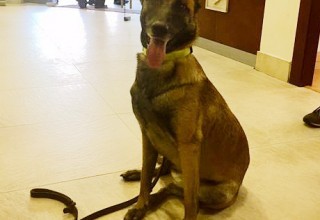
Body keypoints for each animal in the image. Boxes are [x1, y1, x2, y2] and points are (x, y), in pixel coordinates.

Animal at [122, 0, 250, 219]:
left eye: (182, 6)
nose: (159, 28)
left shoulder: (188, 148)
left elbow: (190, 201)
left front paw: (145, 204)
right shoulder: (147, 136)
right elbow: (146, 176)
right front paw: (140, 205)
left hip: (218, 193)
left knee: (173, 187)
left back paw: (154, 198)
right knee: (163, 172)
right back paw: (139, 178)